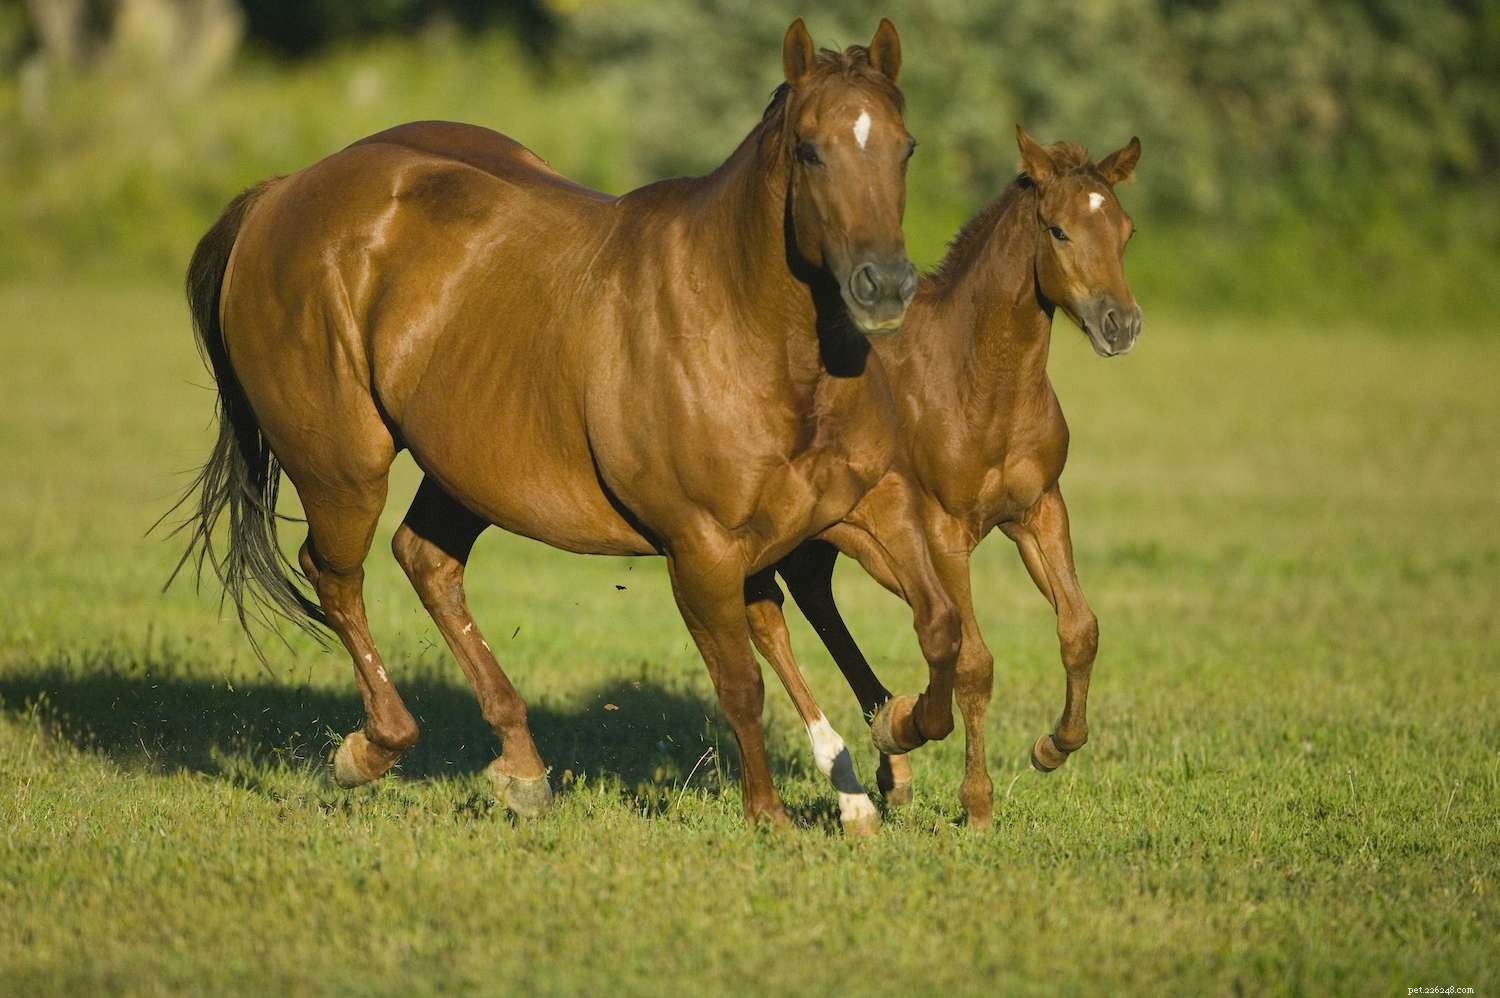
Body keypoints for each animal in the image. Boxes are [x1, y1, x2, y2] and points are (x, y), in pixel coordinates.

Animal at [166, 18, 962, 835]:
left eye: (905, 147)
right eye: (809, 149)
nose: (884, 285)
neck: (749, 332)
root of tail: (280, 194)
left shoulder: (868, 508)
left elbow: (941, 627)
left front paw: (897, 730)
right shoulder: (701, 549)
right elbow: (742, 683)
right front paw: (768, 813)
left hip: (467, 463)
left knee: (426, 560)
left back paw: (521, 768)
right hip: (344, 469)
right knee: (334, 573)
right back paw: (374, 746)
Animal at [741, 127, 1143, 826]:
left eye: (1125, 230)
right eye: (1060, 231)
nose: (1120, 324)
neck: (979, 381)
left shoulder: (1039, 509)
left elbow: (1080, 630)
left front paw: (1052, 746)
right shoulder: (943, 530)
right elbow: (975, 662)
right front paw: (977, 804)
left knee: (813, 592)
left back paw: (892, 757)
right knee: (769, 615)